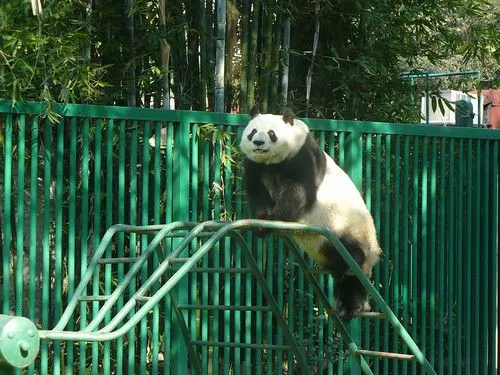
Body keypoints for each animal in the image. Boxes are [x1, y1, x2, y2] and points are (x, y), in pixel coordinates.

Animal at [240, 107, 380, 322]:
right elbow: (256, 189)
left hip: (348, 229)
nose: (258, 143)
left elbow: (299, 190)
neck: (273, 162)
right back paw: (347, 307)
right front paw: (261, 220)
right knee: (347, 278)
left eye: (271, 133)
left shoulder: (302, 156)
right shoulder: (255, 164)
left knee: (352, 262)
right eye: (253, 132)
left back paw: (353, 305)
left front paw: (274, 220)